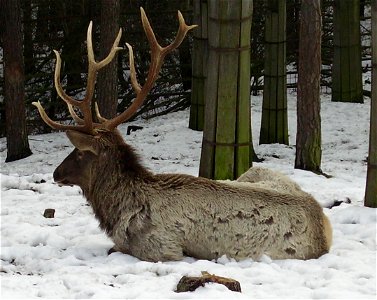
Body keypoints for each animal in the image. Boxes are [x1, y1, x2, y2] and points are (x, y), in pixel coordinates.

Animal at [33, 7, 330, 262]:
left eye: (80, 152)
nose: (56, 173)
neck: (119, 212)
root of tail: (324, 228)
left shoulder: (162, 248)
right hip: (255, 172)